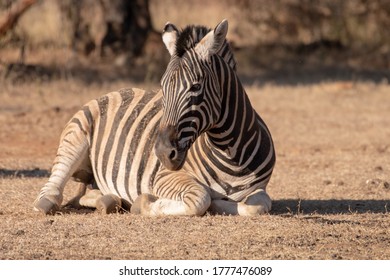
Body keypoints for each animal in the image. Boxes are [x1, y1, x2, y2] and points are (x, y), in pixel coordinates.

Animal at [35, 19, 276, 217]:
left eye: (196, 87)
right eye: (162, 89)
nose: (162, 153)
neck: (231, 155)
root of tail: (116, 91)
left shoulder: (259, 189)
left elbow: (258, 206)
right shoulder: (164, 177)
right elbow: (200, 198)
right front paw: (144, 203)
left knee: (90, 194)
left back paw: (109, 200)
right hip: (75, 136)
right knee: (54, 185)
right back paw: (50, 202)